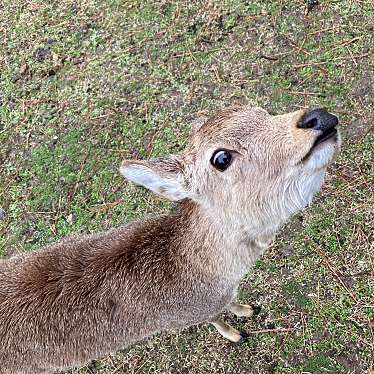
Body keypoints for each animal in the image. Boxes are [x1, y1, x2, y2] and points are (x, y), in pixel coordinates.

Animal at [0, 104, 338, 372]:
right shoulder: (185, 317)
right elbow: (214, 321)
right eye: (221, 158)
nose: (318, 117)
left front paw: (246, 309)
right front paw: (236, 334)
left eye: (263, 111)